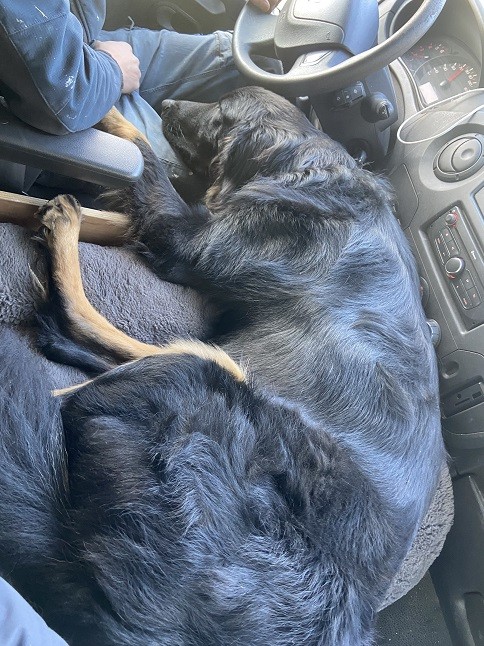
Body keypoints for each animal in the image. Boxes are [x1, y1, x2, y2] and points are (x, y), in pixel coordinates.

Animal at [0, 87, 445, 645]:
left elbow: (142, 152)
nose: (168, 104)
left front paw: (113, 112)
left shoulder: (189, 240)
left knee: (89, 356)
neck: (304, 162)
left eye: (220, 115)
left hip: (205, 369)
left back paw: (64, 241)